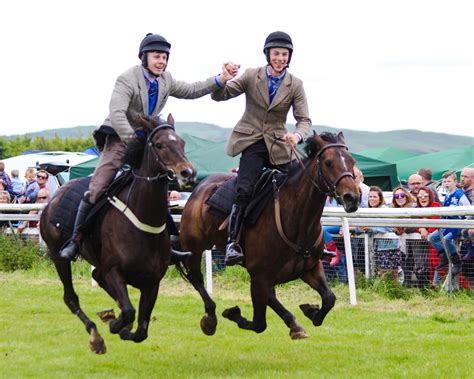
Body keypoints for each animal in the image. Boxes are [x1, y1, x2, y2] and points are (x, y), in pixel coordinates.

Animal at [39, 114, 195, 354]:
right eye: (159, 144)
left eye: (182, 143)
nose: (188, 173)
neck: (142, 221)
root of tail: (54, 198)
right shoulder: (114, 271)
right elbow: (129, 312)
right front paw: (116, 324)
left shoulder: (152, 282)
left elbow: (141, 330)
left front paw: (121, 324)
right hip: (58, 256)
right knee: (71, 298)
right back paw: (95, 335)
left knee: (97, 277)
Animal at [180, 133, 358, 338]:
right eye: (328, 162)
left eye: (352, 161)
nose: (352, 197)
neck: (298, 222)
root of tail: (200, 188)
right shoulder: (260, 276)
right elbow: (259, 324)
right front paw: (233, 313)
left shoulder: (310, 268)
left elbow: (329, 298)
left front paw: (311, 311)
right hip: (194, 248)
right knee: (196, 278)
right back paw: (210, 318)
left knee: (271, 296)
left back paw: (294, 323)